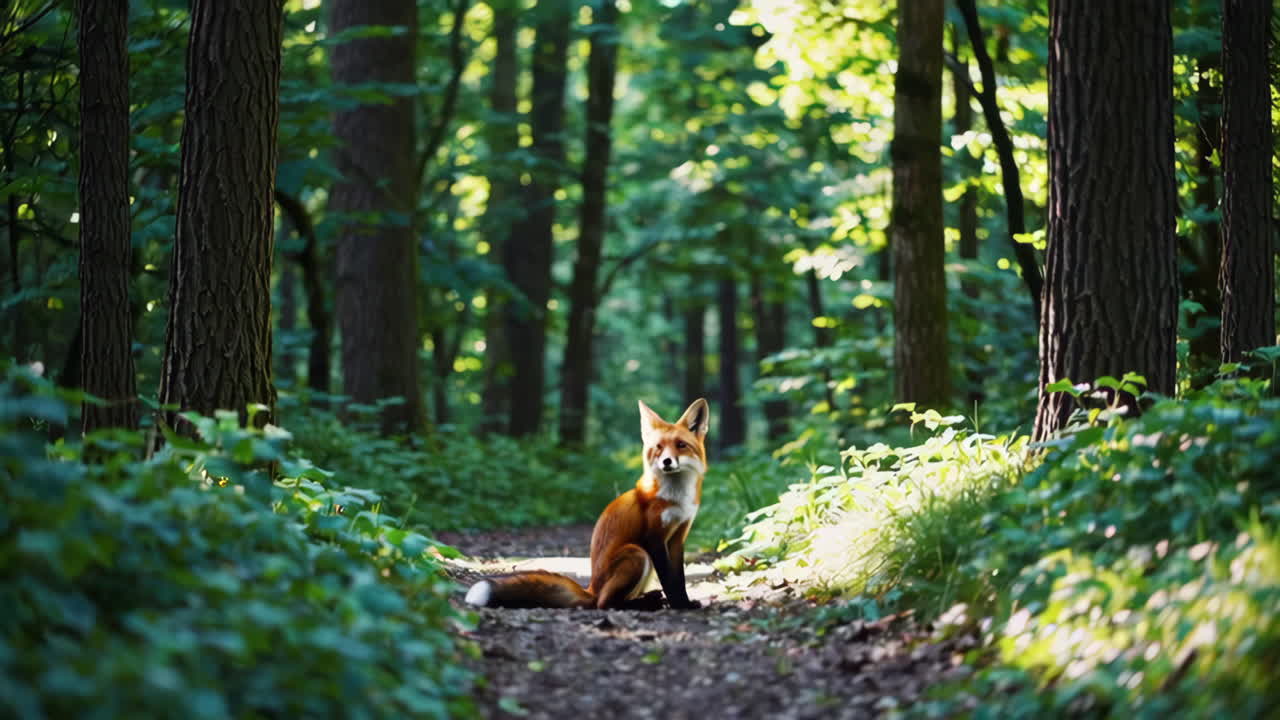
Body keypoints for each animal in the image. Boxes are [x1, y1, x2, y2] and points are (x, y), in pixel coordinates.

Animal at [464, 398, 710, 610]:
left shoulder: (677, 537)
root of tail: (590, 588)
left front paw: (685, 602)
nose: (667, 462)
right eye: (658, 447)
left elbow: (678, 579)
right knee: (604, 603)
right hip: (637, 553)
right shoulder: (654, 539)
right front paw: (679, 606)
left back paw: (649, 599)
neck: (674, 497)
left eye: (681, 445)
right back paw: (645, 604)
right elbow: (669, 580)